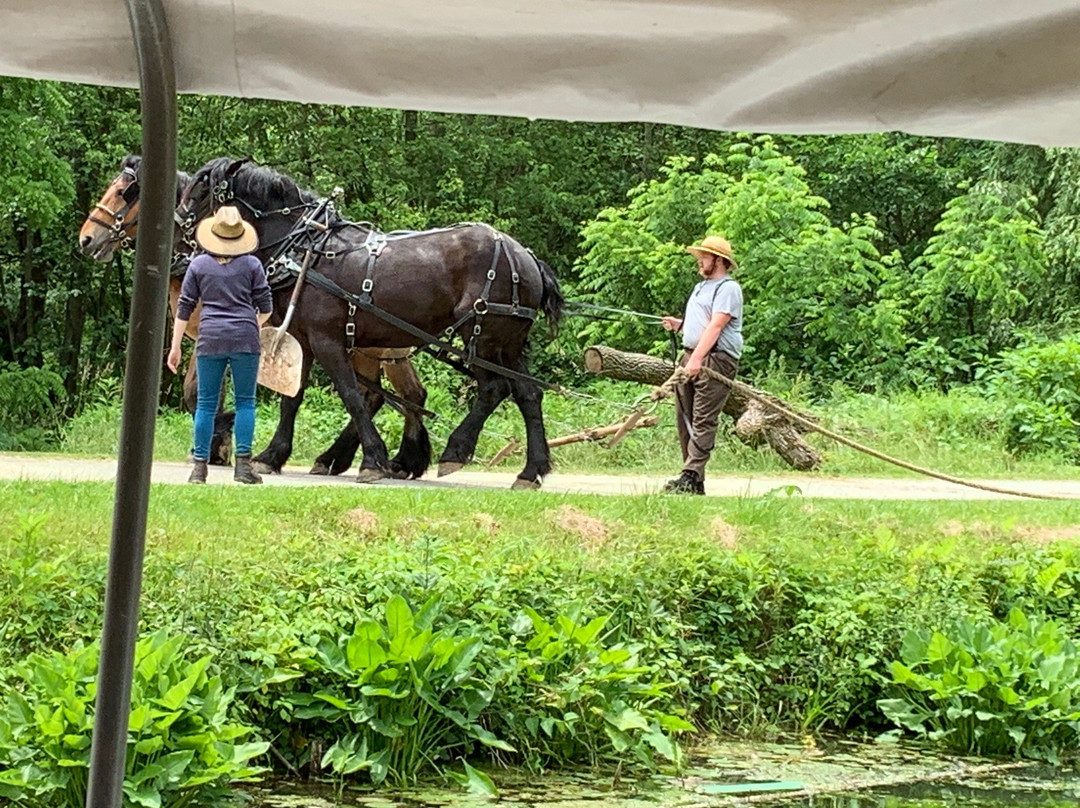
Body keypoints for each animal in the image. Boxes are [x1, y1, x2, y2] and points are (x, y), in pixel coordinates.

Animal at [78, 154, 432, 477]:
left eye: (123, 192)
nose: (86, 239)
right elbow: (199, 391)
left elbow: (201, 391)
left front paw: (219, 442)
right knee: (393, 393)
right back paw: (372, 459)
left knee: (386, 394)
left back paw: (370, 459)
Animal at [174, 157, 565, 486]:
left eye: (201, 189)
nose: (178, 225)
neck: (304, 250)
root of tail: (526, 257)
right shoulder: (302, 339)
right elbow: (293, 397)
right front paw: (271, 456)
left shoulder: (327, 339)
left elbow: (351, 395)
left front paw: (374, 461)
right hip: (507, 344)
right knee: (528, 394)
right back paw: (531, 471)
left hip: (481, 337)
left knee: (493, 388)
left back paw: (455, 450)